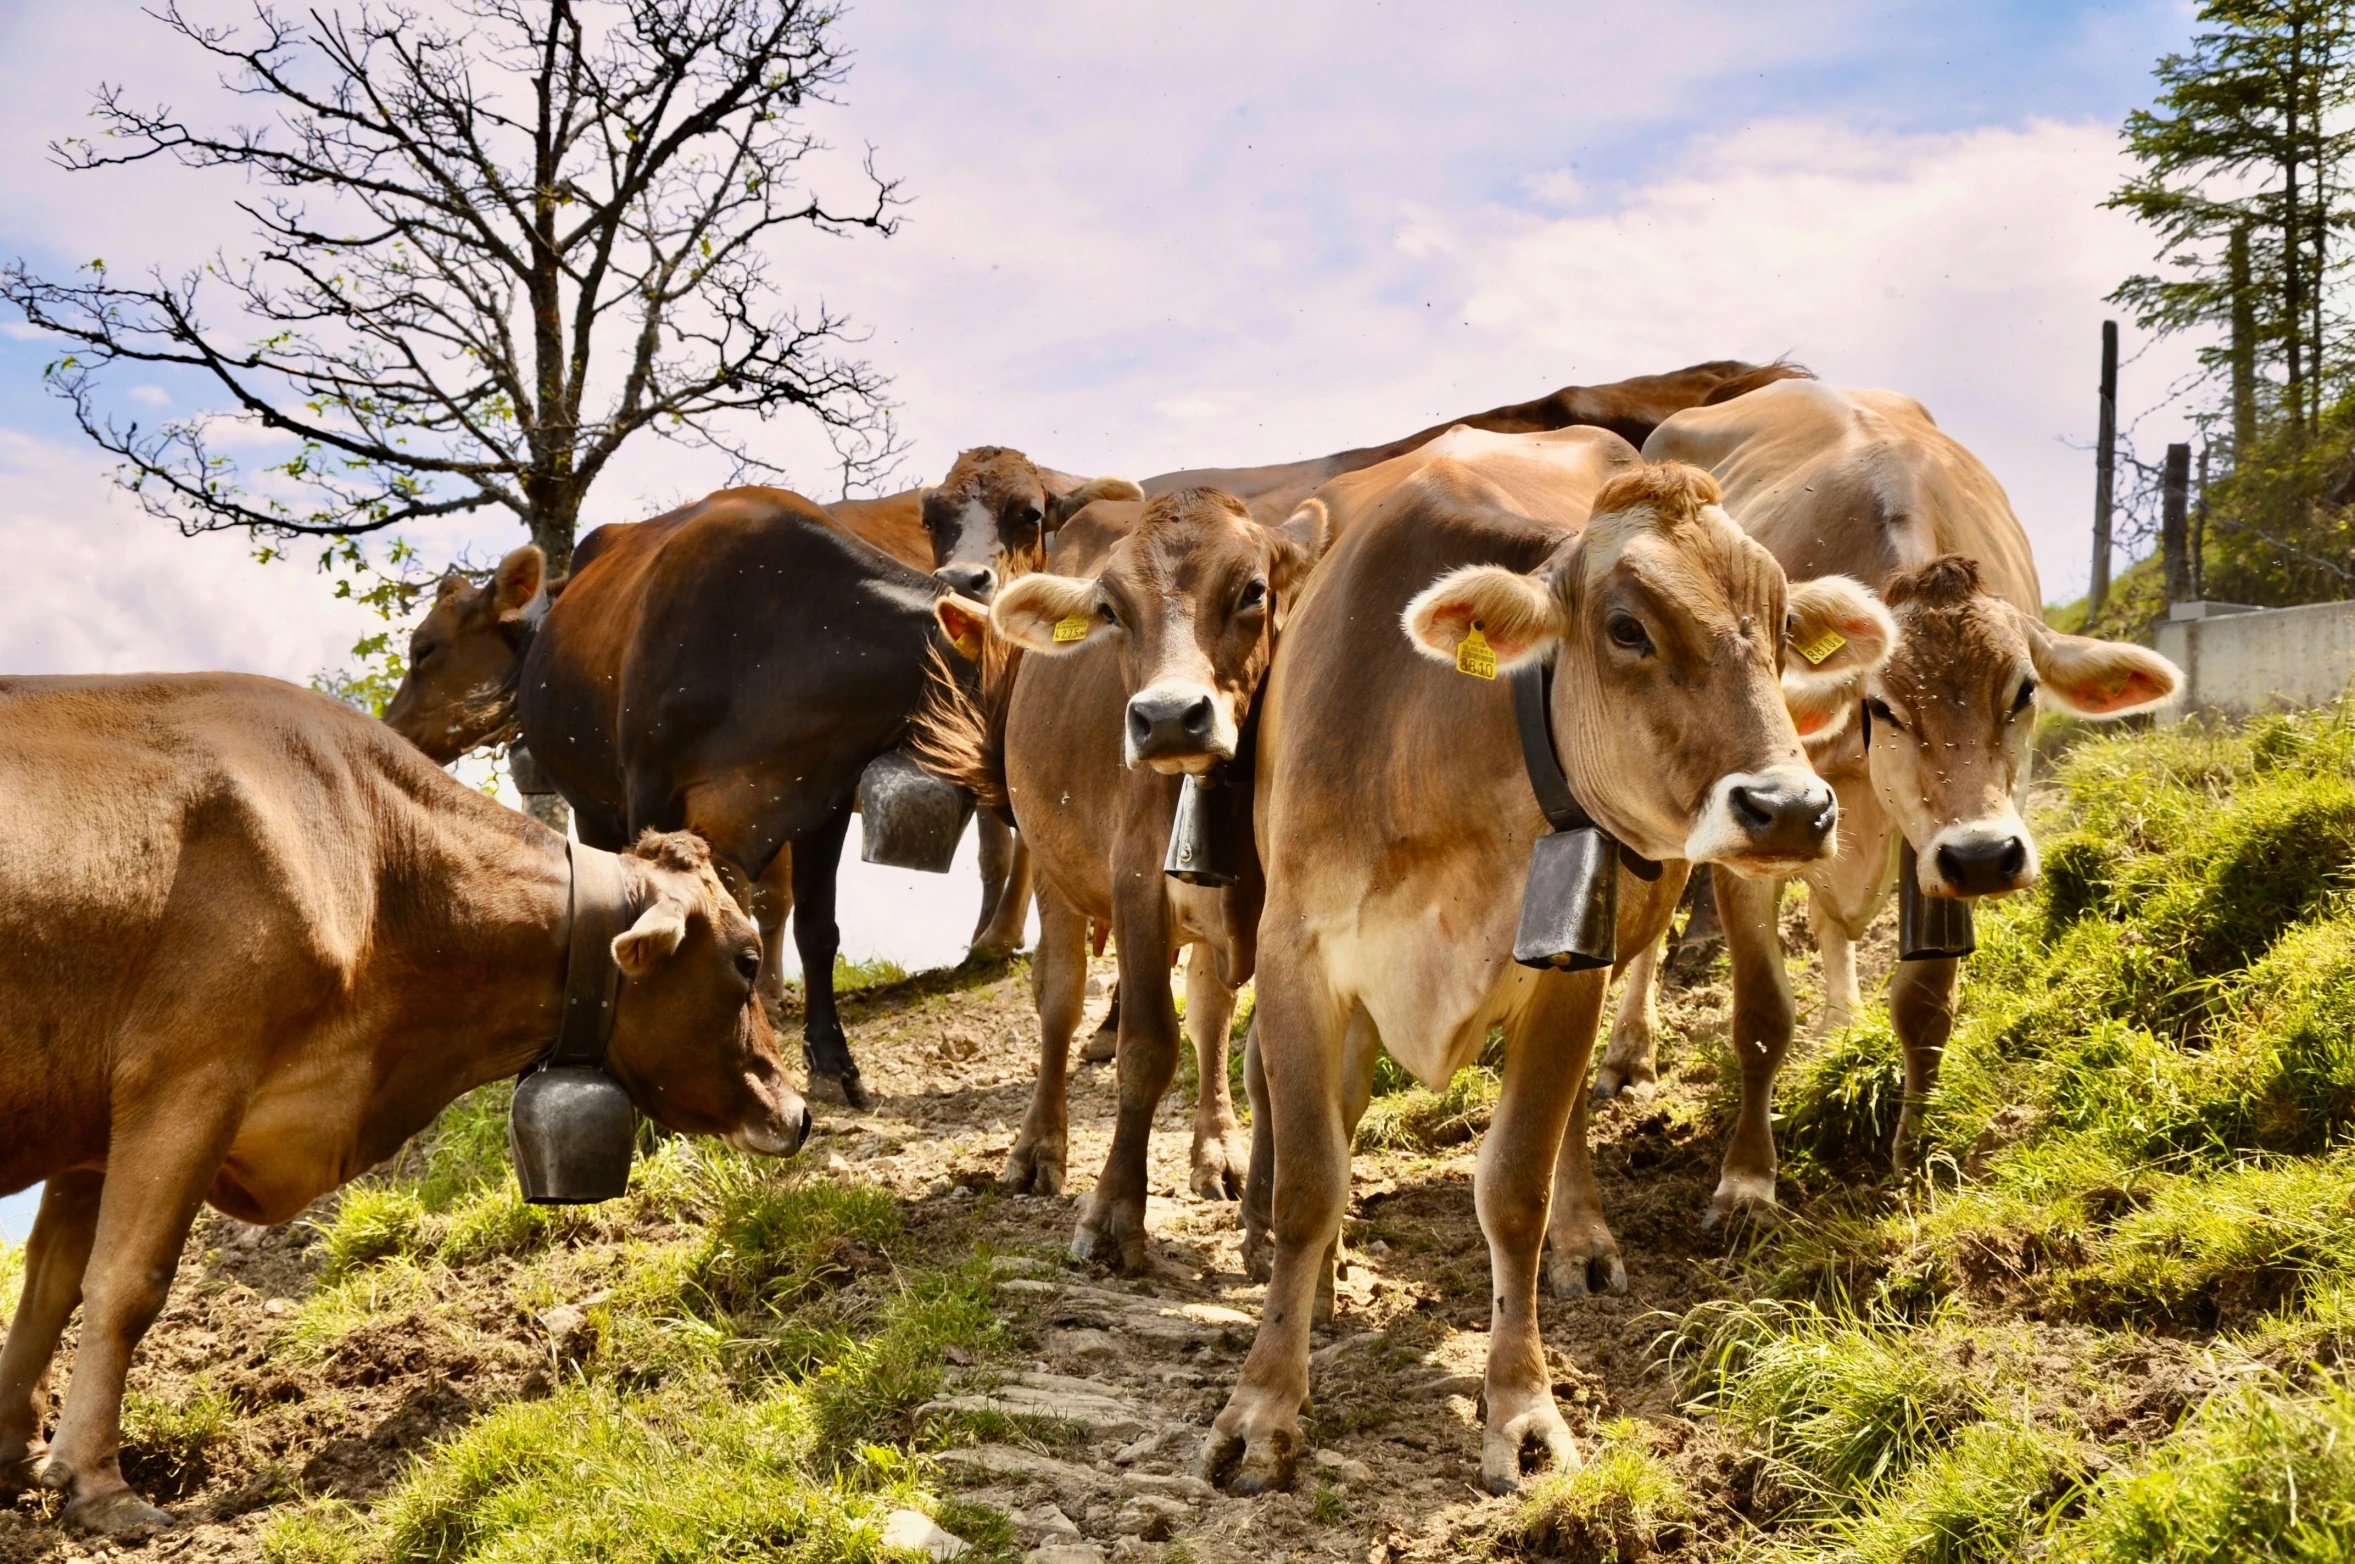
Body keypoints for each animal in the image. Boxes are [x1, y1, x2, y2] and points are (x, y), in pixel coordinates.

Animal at [0, 668, 810, 1526]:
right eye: (746, 959)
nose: (797, 1113)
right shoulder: (188, 1077)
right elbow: (127, 1283)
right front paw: (98, 1484)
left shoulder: (94, 1127)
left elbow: (50, 1289)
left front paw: (16, 1452)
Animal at [1196, 433, 1893, 1498]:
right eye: (1626, 628)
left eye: (1780, 626)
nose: (1790, 809)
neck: (1434, 744)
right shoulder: (1299, 958)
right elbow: (1312, 1180)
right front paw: (1263, 1406)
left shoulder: (1568, 971)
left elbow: (1513, 1187)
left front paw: (1522, 1411)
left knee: (1559, 1139)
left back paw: (1582, 1239)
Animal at [1591, 381, 2176, 1243]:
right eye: (1883, 706)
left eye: (2023, 691)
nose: (1984, 856)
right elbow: (1760, 1014)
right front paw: (1746, 1181)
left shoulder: (1931, 846)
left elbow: (1924, 1005)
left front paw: (1916, 1151)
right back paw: (1629, 1050)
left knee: (1832, 926)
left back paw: (1839, 1023)